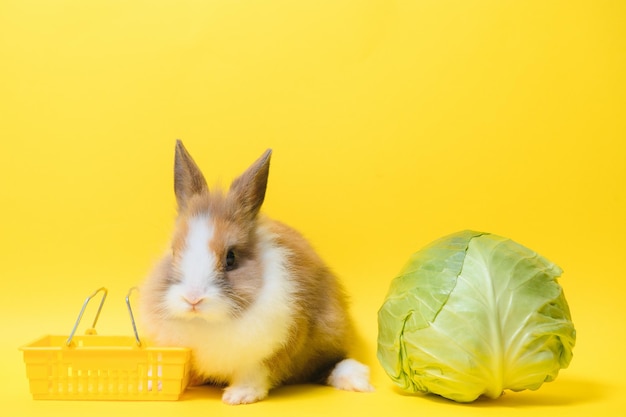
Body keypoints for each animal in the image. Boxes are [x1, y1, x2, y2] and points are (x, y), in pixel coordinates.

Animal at [139, 140, 372, 404]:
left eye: (231, 258)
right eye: (174, 251)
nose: (193, 299)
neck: (206, 321)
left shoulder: (269, 350)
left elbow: (254, 373)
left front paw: (238, 396)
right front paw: (153, 384)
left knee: (330, 363)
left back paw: (357, 379)